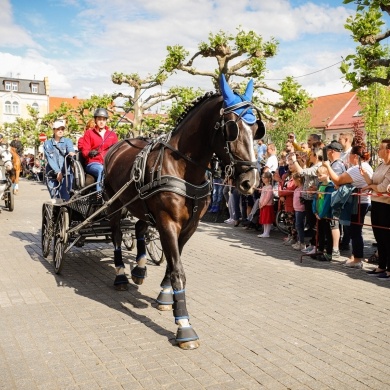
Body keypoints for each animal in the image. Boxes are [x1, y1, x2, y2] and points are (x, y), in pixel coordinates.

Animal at [103, 74, 266, 348]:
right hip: (115, 204)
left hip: (142, 207)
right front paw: (184, 324)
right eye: (231, 128)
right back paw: (121, 276)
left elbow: (172, 262)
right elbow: (178, 269)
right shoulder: (168, 222)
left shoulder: (189, 226)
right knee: (116, 235)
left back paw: (139, 269)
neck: (183, 167)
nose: (250, 182)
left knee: (139, 227)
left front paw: (166, 296)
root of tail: (118, 146)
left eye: (257, 130)